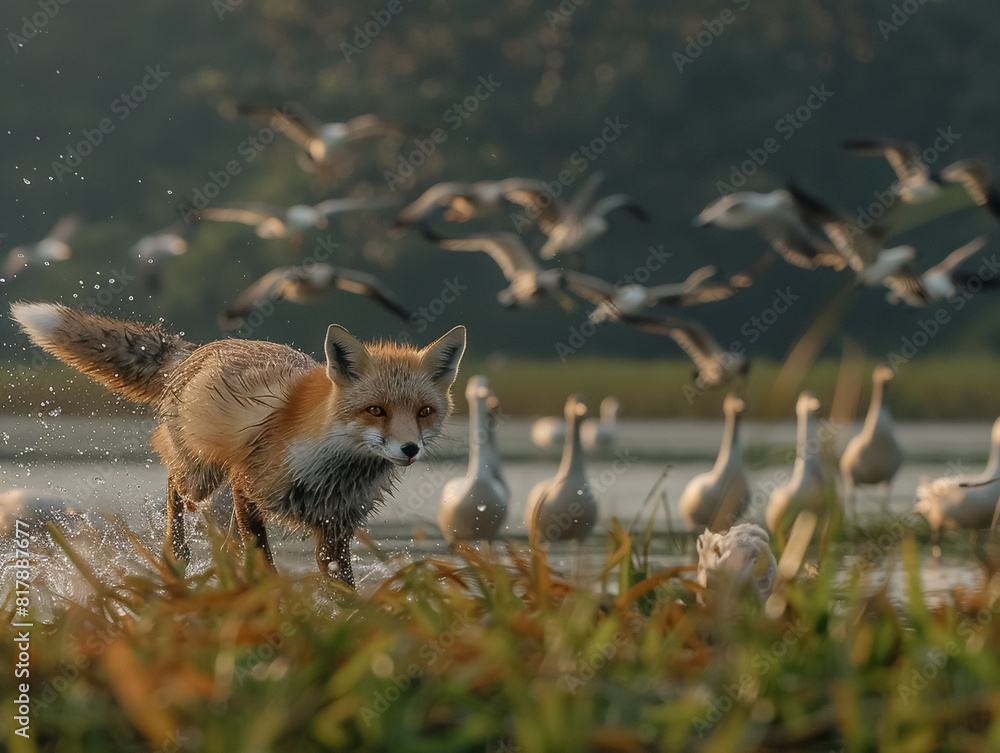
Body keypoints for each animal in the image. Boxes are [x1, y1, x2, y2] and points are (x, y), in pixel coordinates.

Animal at [10, 301, 466, 587]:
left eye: (424, 412)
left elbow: (343, 588)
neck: (332, 469)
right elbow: (264, 560)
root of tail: (198, 350)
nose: (410, 449)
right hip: (202, 477)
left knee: (226, 542)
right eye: (376, 410)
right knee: (175, 489)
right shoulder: (251, 488)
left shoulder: (336, 526)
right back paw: (175, 556)